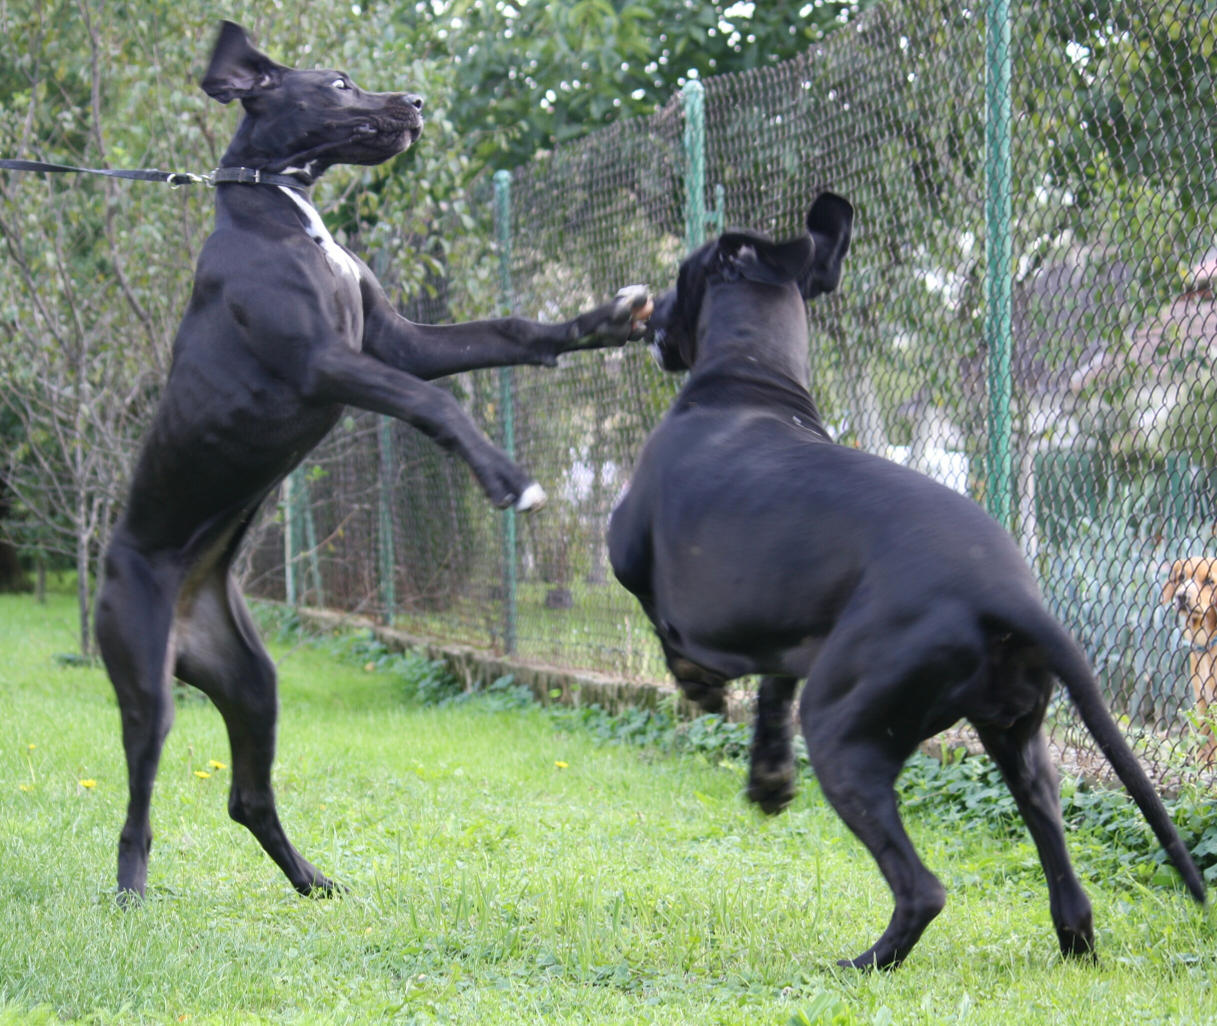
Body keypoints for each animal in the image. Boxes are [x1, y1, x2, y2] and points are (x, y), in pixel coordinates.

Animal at [95, 21, 650, 902]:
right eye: (339, 82)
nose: (416, 100)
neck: (280, 204)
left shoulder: (401, 343)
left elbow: (512, 332)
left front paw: (602, 322)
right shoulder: (324, 362)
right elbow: (433, 405)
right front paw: (507, 479)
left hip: (252, 682)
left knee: (247, 798)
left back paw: (311, 881)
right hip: (145, 682)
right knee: (138, 803)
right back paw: (130, 895)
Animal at [607, 192, 1205, 969]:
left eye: (682, 276)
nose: (647, 315)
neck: (746, 382)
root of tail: (1007, 590)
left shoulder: (634, 561)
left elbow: (666, 626)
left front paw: (699, 684)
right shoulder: (795, 628)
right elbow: (772, 687)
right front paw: (768, 776)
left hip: (844, 734)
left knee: (923, 888)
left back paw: (862, 963)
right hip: (1016, 742)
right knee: (1064, 878)